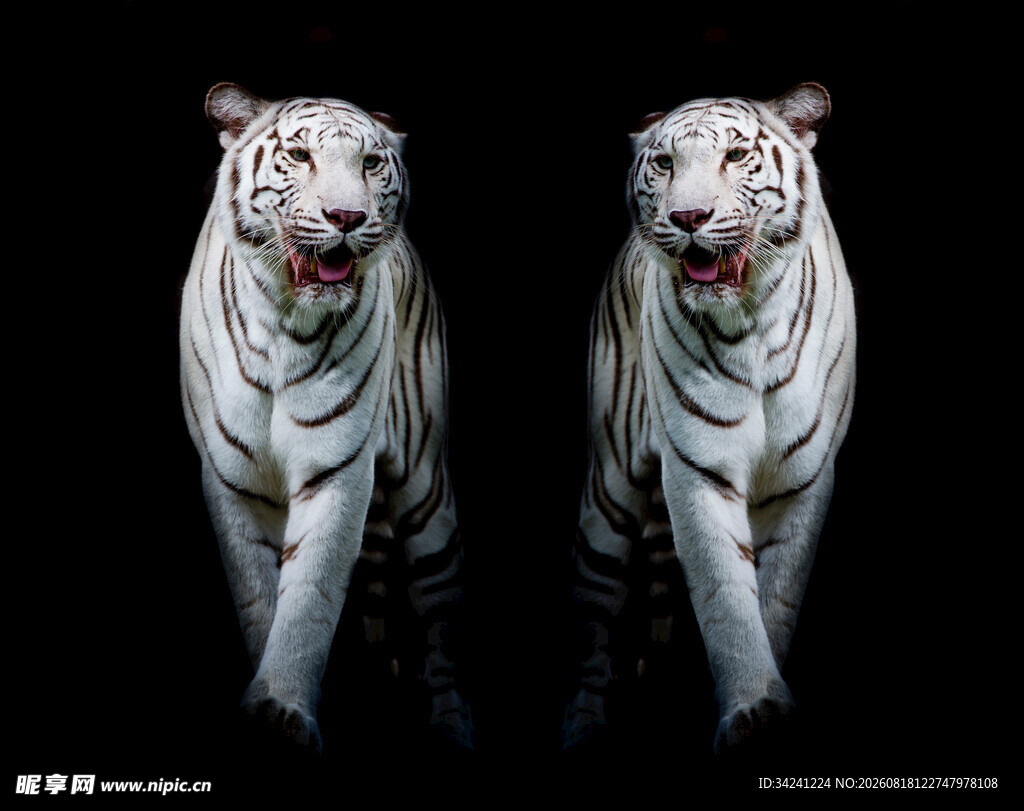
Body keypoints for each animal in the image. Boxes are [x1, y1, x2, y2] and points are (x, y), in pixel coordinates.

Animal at [179, 83, 471, 753]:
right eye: (299, 156)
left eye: (370, 163)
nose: (347, 218)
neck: (284, 322)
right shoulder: (232, 478)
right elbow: (260, 598)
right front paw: (268, 710)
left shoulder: (337, 468)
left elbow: (310, 594)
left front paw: (283, 707)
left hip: (426, 492)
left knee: (441, 617)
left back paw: (452, 726)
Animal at [564, 83, 856, 753]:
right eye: (665, 164)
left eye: (736, 156)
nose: (688, 217)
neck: (752, 322)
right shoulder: (698, 468)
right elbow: (725, 595)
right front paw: (752, 708)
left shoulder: (803, 478)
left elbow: (775, 598)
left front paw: (768, 708)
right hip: (609, 491)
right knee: (594, 616)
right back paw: (583, 726)